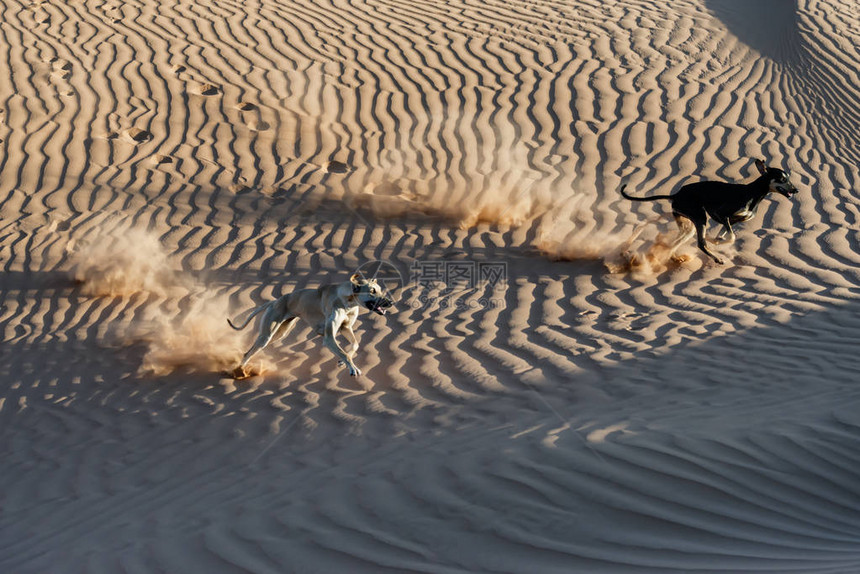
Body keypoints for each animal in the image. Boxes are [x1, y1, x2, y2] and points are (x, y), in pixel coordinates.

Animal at [620, 159, 800, 264]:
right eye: (782, 179)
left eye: (789, 178)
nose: (796, 190)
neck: (753, 193)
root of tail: (676, 194)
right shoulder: (720, 214)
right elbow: (731, 237)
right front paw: (716, 242)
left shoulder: (732, 220)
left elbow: (725, 234)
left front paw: (717, 240)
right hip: (700, 217)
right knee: (700, 243)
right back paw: (716, 258)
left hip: (688, 222)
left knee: (672, 239)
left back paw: (674, 256)